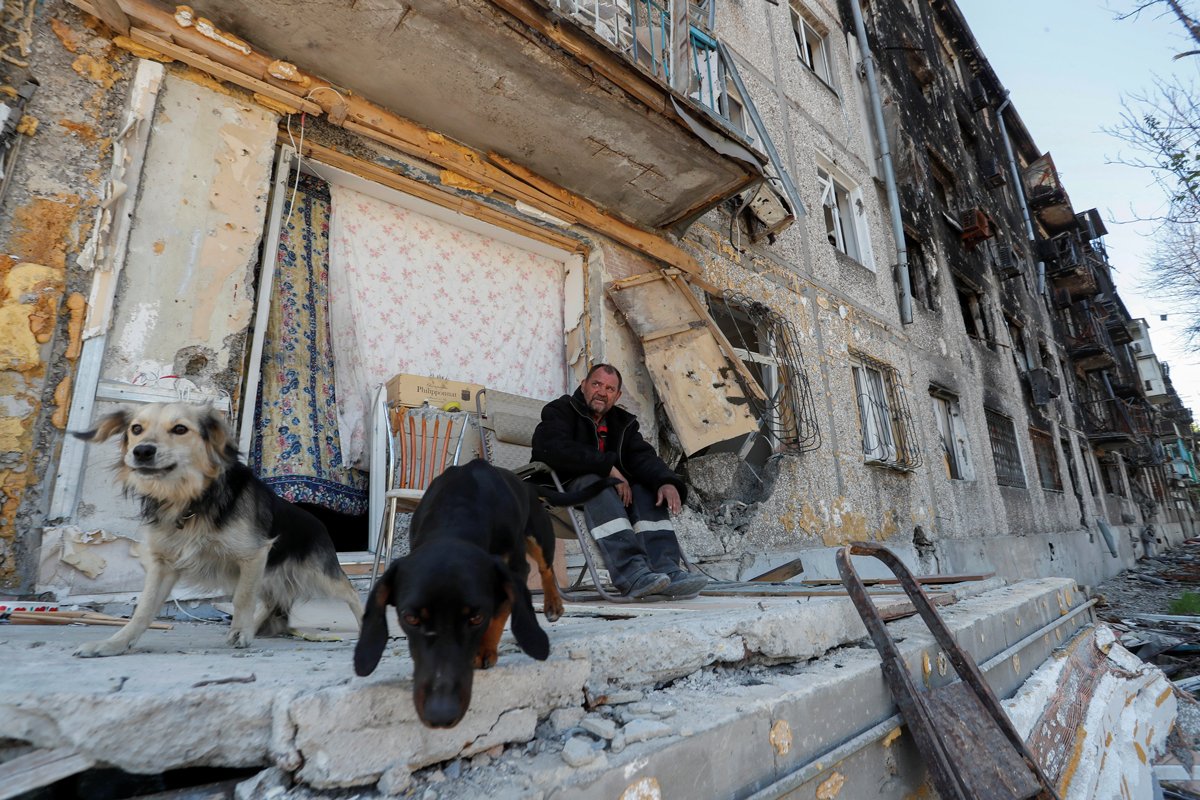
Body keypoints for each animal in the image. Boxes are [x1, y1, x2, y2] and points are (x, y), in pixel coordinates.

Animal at [69, 402, 360, 662]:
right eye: (136, 428)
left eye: (180, 429)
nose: (141, 451)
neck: (189, 501)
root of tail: (320, 524)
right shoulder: (164, 564)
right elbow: (144, 608)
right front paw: (113, 644)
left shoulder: (254, 555)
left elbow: (243, 598)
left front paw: (240, 634)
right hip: (266, 575)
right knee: (270, 602)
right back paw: (256, 625)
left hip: (316, 574)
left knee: (350, 591)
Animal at [350, 460, 614, 729]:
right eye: (410, 618)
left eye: (477, 618)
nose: (441, 713)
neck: (456, 512)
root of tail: (528, 485)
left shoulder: (514, 570)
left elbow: (500, 612)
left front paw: (485, 649)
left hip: (540, 535)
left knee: (546, 568)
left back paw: (553, 604)